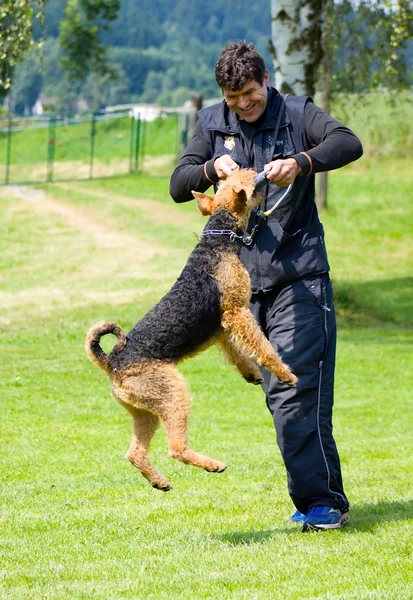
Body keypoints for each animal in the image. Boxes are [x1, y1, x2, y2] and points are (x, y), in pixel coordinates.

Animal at [84, 169, 296, 492]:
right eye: (245, 180)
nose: (257, 171)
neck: (217, 241)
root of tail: (112, 361)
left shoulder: (222, 326)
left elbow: (237, 353)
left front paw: (251, 373)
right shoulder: (237, 311)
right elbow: (263, 346)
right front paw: (285, 374)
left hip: (144, 411)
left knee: (135, 453)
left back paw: (160, 482)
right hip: (174, 393)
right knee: (176, 448)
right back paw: (213, 464)